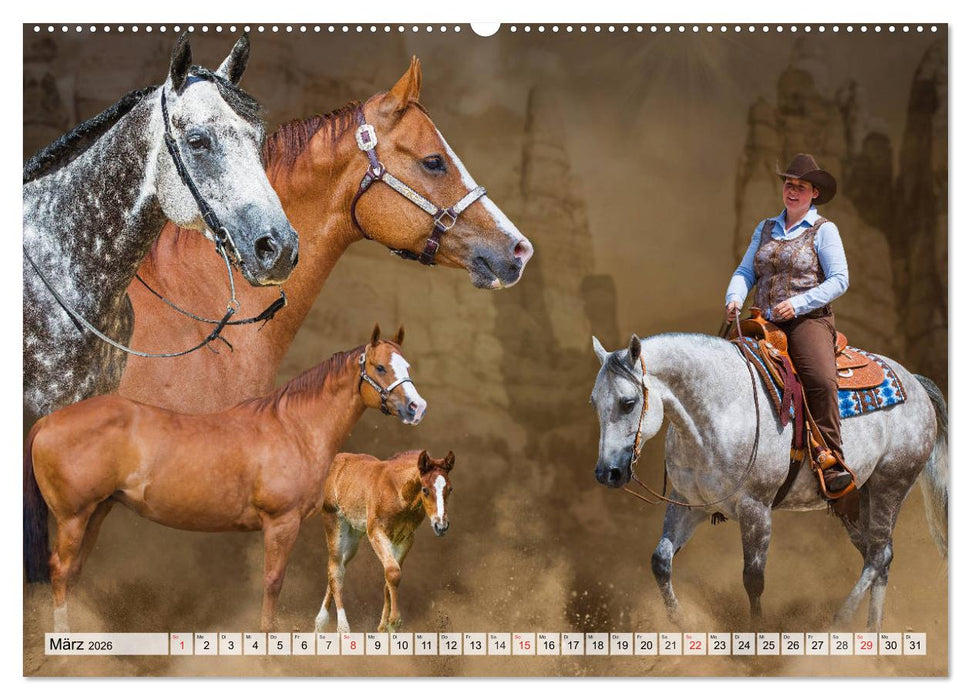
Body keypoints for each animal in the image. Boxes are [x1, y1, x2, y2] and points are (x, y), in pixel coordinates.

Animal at [23, 324, 425, 632]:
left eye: (407, 365)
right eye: (380, 367)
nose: (416, 407)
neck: (293, 429)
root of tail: (48, 422)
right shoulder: (282, 523)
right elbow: (273, 582)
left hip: (98, 512)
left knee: (74, 571)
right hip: (73, 517)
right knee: (60, 569)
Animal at [314, 449, 455, 633]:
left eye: (450, 489)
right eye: (424, 490)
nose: (441, 526)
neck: (398, 492)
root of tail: (336, 460)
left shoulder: (406, 539)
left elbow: (390, 578)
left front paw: (384, 626)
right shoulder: (377, 532)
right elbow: (393, 573)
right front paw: (394, 621)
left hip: (354, 536)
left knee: (338, 568)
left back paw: (320, 625)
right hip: (334, 523)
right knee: (335, 570)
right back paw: (342, 628)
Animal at [590, 332, 948, 631]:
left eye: (628, 402)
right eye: (594, 401)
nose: (607, 472)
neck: (722, 410)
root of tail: (914, 383)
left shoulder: (755, 509)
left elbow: (753, 578)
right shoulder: (690, 503)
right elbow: (661, 561)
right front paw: (679, 620)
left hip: (892, 484)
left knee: (878, 556)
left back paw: (841, 620)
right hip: (859, 499)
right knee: (880, 555)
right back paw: (873, 636)